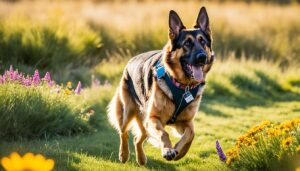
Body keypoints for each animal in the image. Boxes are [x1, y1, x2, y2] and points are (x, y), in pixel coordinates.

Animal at [108, 7, 213, 166]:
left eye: (203, 41)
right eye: (187, 43)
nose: (202, 57)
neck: (183, 86)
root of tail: (131, 60)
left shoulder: (185, 122)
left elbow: (191, 134)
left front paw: (179, 152)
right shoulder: (153, 118)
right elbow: (164, 133)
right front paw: (168, 150)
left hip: (144, 122)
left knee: (137, 138)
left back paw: (141, 159)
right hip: (129, 111)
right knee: (123, 132)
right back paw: (124, 154)